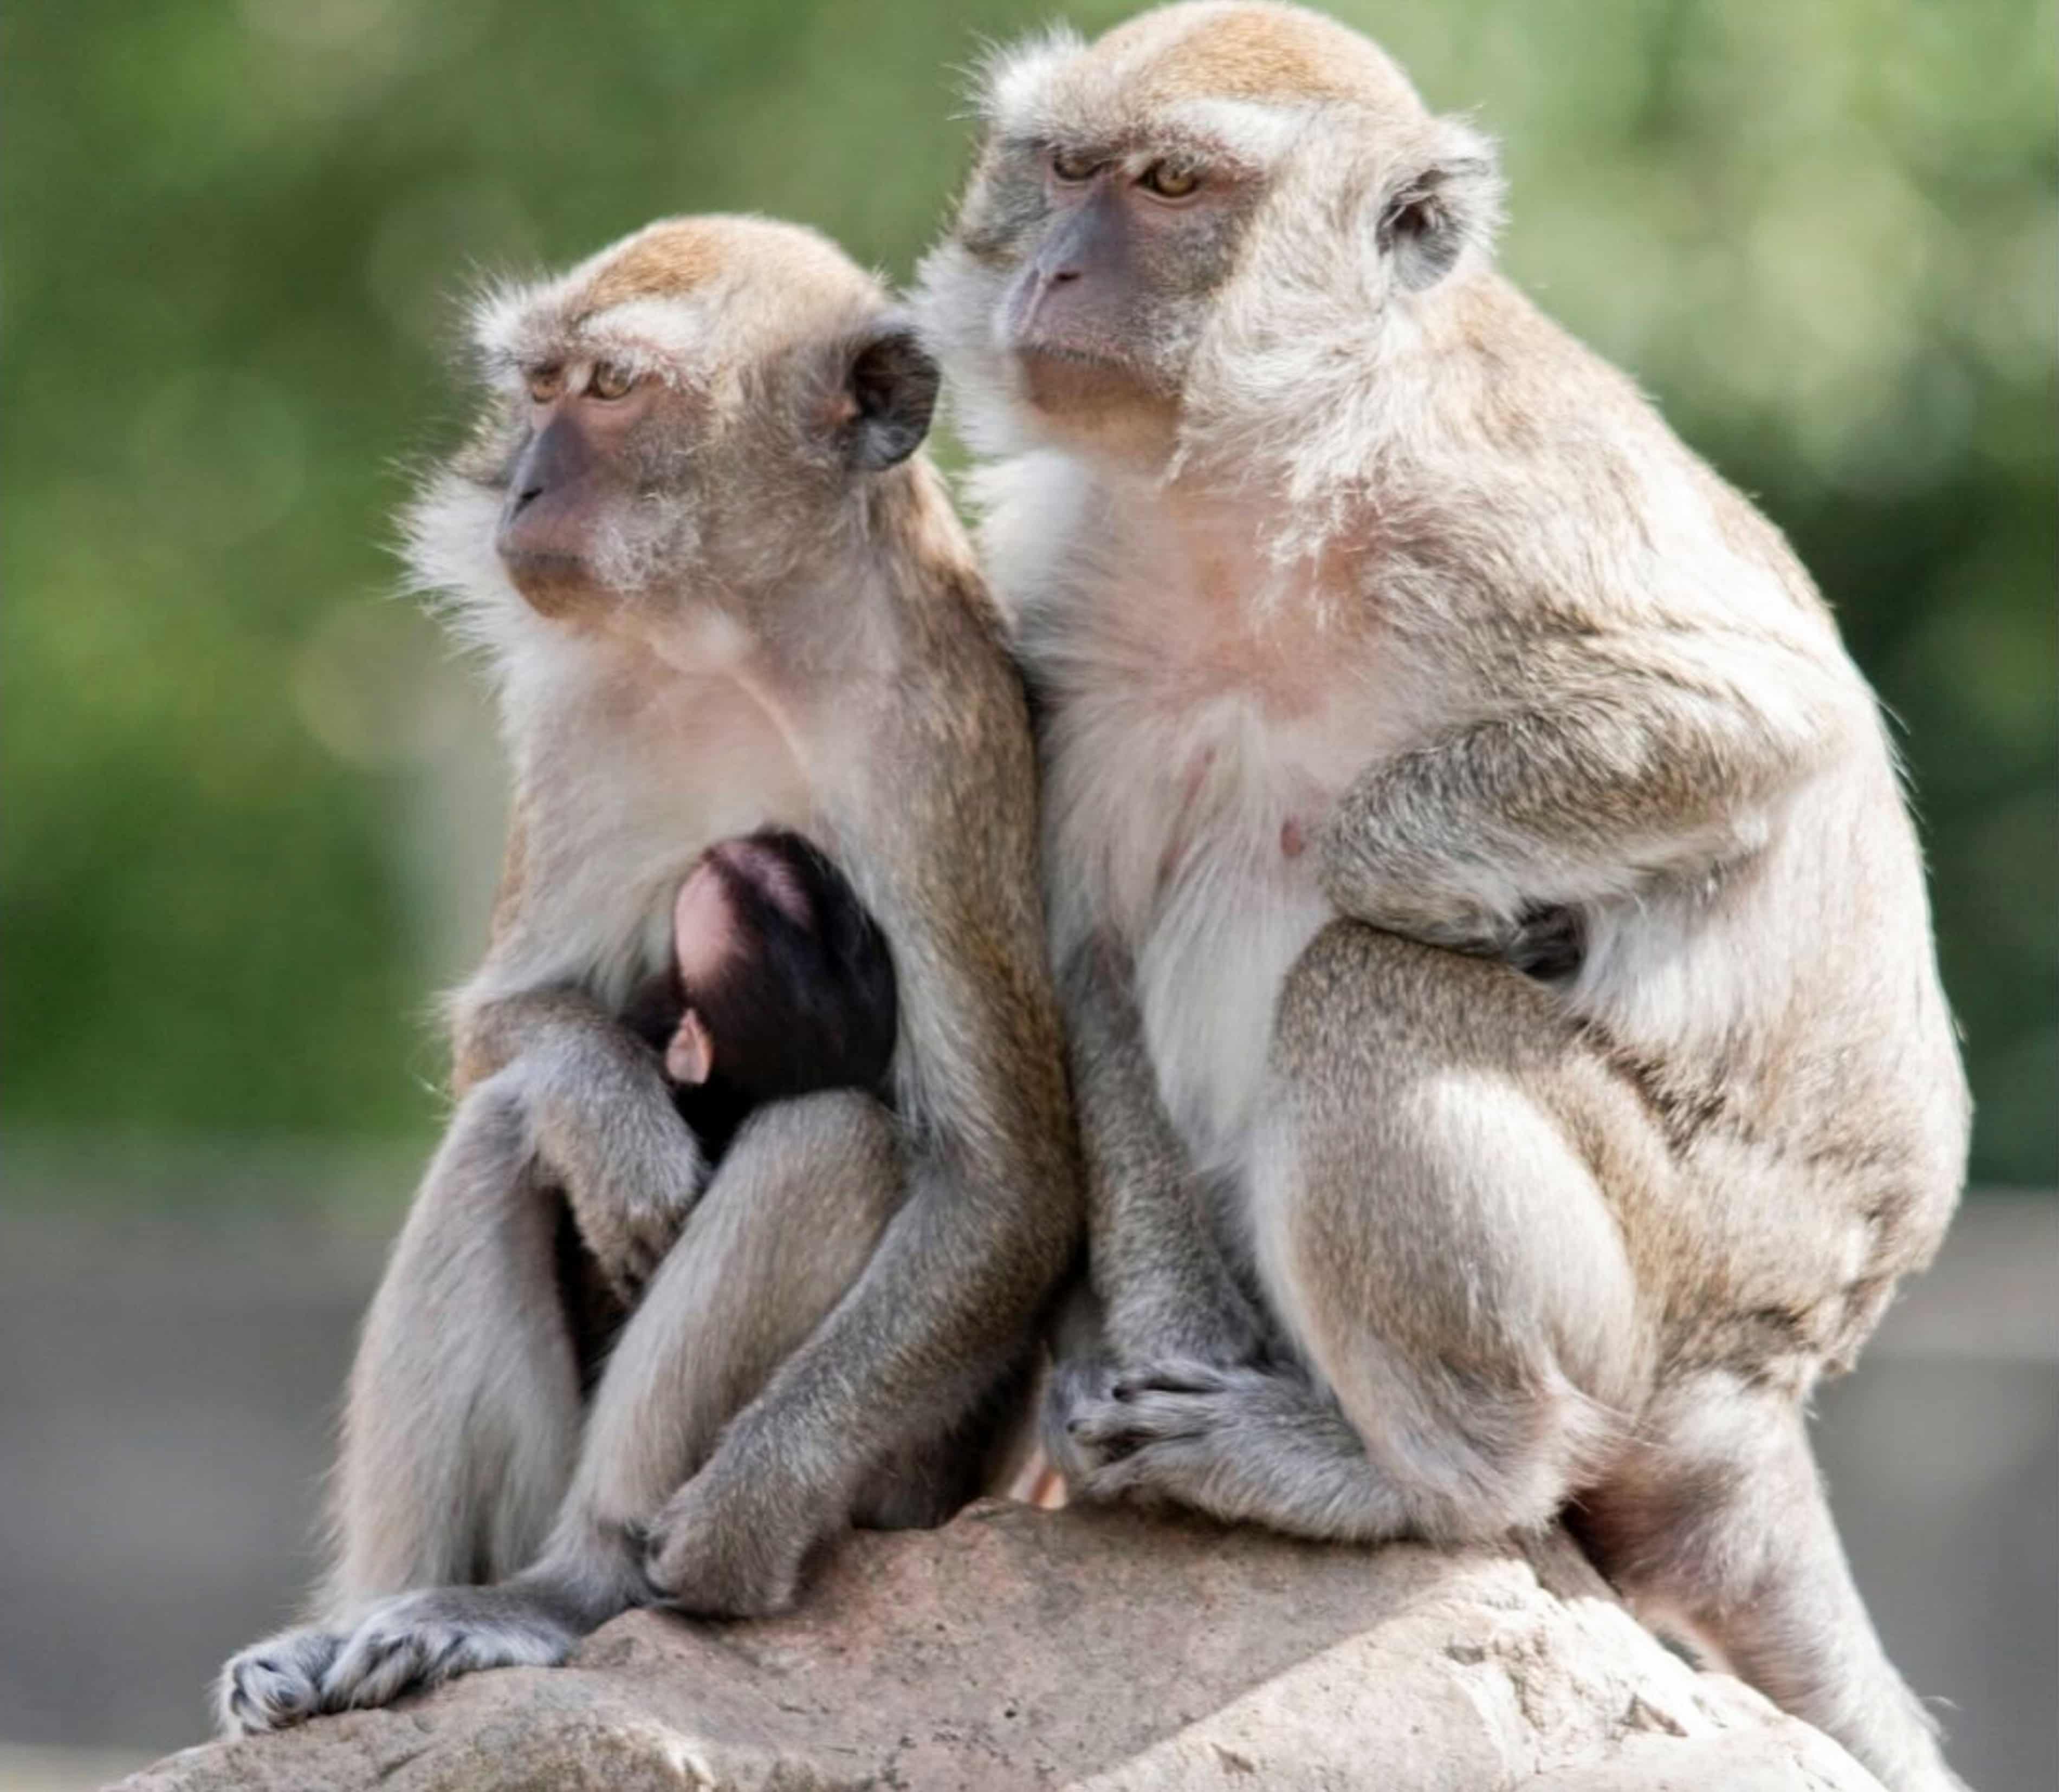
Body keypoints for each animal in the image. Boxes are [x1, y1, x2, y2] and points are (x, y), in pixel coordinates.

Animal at [913, 7, 1970, 1789]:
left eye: (1171, 185)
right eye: (1058, 170)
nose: (1050, 270)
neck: (1253, 490)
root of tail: (1772, 1380)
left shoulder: (1483, 507)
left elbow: (1760, 721)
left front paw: (1451, 894)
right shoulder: (1067, 604)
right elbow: (1085, 948)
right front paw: (1148, 1342)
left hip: (1668, 1280)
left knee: (1363, 990)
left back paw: (1422, 1475)